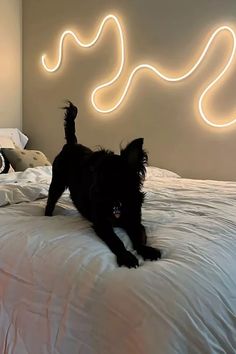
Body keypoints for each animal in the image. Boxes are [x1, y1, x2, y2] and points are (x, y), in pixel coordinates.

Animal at [45, 101, 161, 266]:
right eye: (95, 174)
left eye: (112, 177)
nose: (93, 192)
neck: (117, 200)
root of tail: (71, 144)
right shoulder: (101, 224)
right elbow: (116, 240)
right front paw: (126, 257)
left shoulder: (134, 220)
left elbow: (139, 237)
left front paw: (147, 251)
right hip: (57, 183)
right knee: (50, 201)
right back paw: (47, 217)